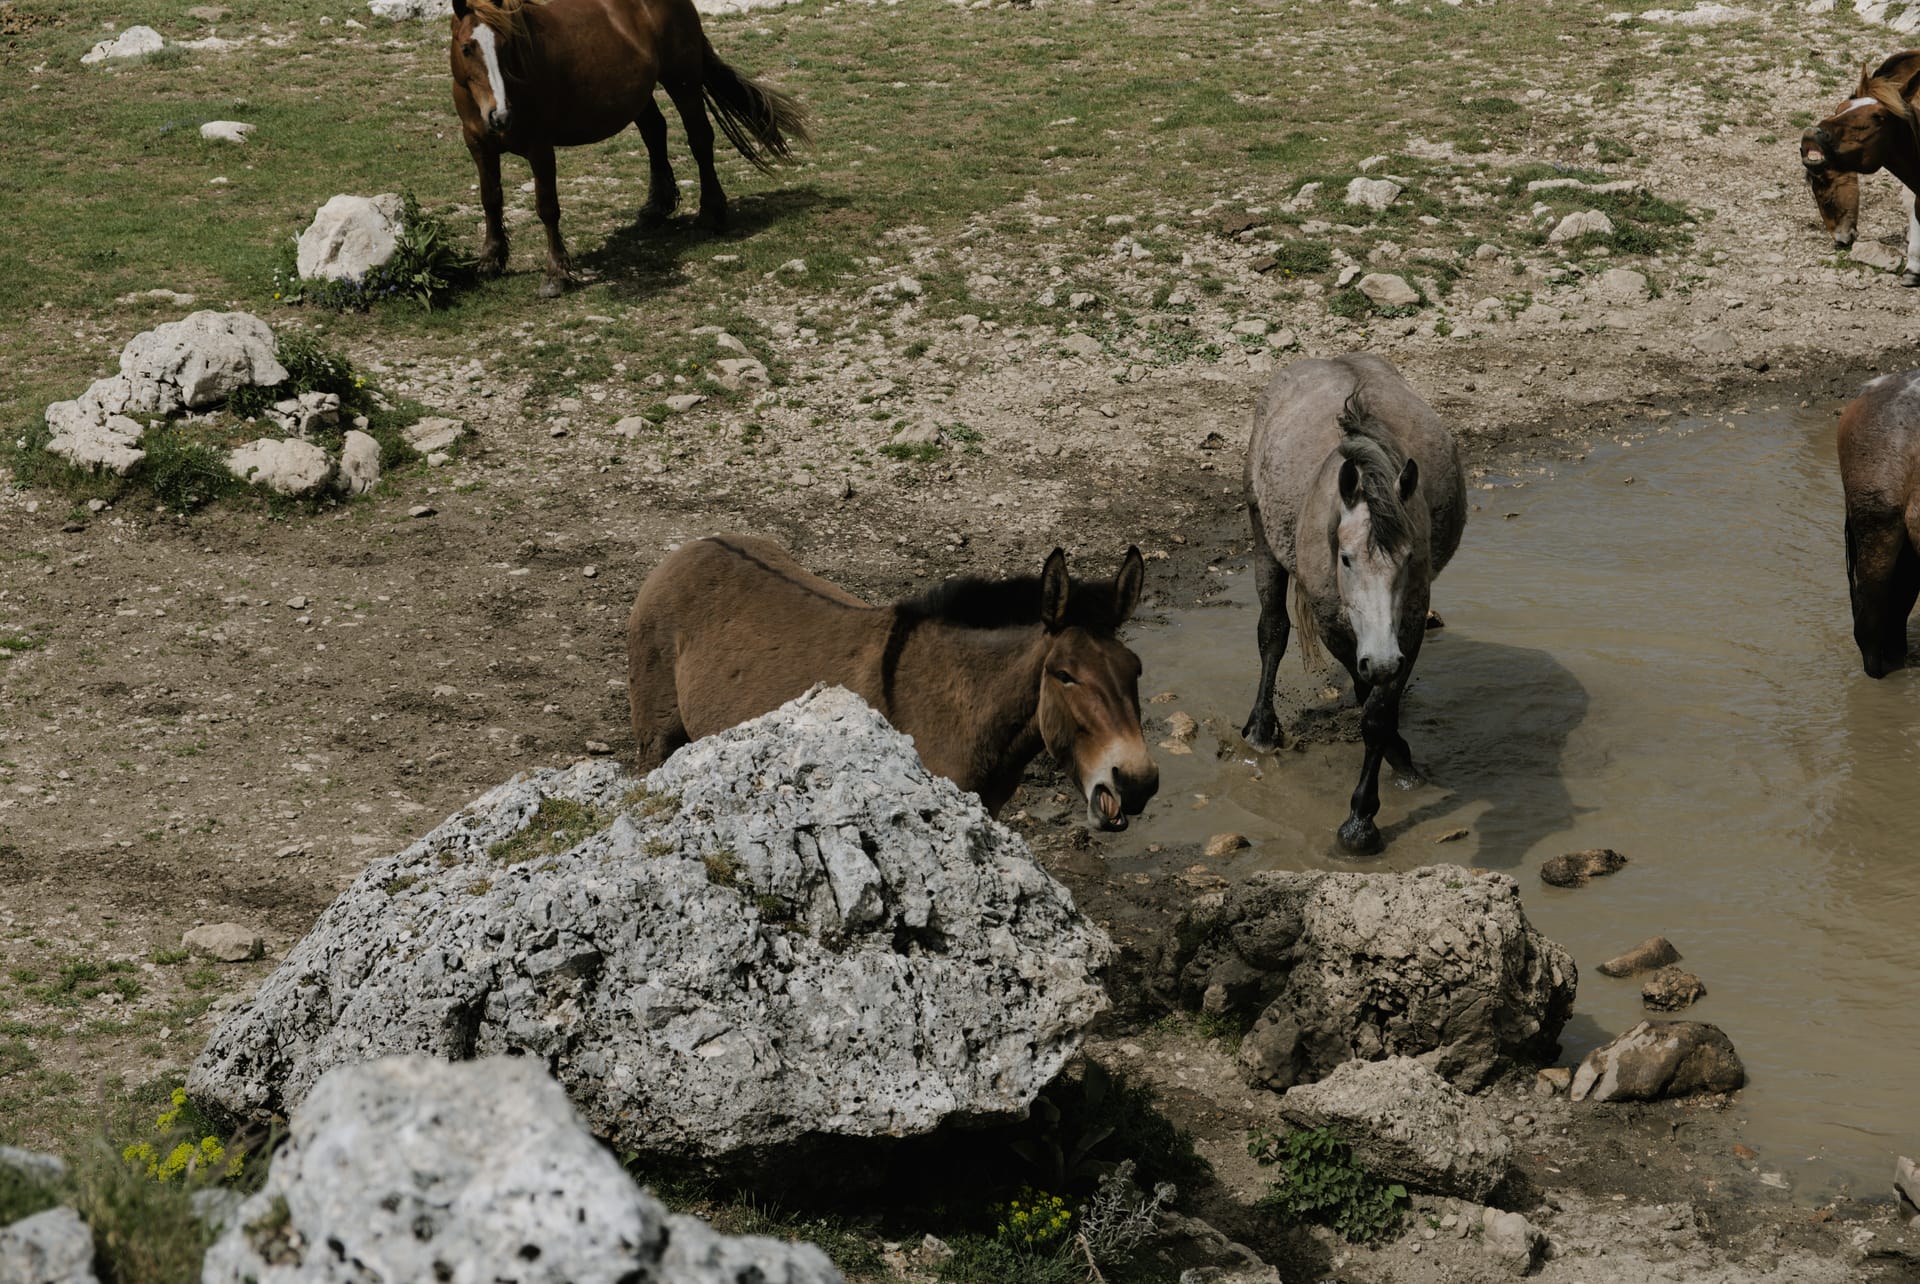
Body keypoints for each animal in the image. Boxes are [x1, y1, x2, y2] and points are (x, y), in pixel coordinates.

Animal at [449, 0, 809, 297]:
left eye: (507, 44)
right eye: (466, 47)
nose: (500, 116)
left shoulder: (540, 147)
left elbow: (547, 207)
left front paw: (556, 274)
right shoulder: (478, 146)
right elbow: (491, 200)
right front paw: (490, 261)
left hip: (683, 83)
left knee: (699, 139)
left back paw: (711, 212)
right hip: (640, 94)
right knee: (655, 132)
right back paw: (657, 207)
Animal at [626, 537, 1159, 829]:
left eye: (1135, 669)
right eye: (1065, 676)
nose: (1138, 783)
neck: (961, 704)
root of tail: (692, 547)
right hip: (657, 738)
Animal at [1240, 354, 1465, 855]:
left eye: (1408, 558)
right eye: (1345, 558)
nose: (1380, 661)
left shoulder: (1409, 628)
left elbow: (1377, 714)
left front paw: (1372, 805)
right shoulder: (1336, 628)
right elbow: (1366, 700)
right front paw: (1361, 821)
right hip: (1263, 537)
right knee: (1272, 632)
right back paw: (1261, 730)